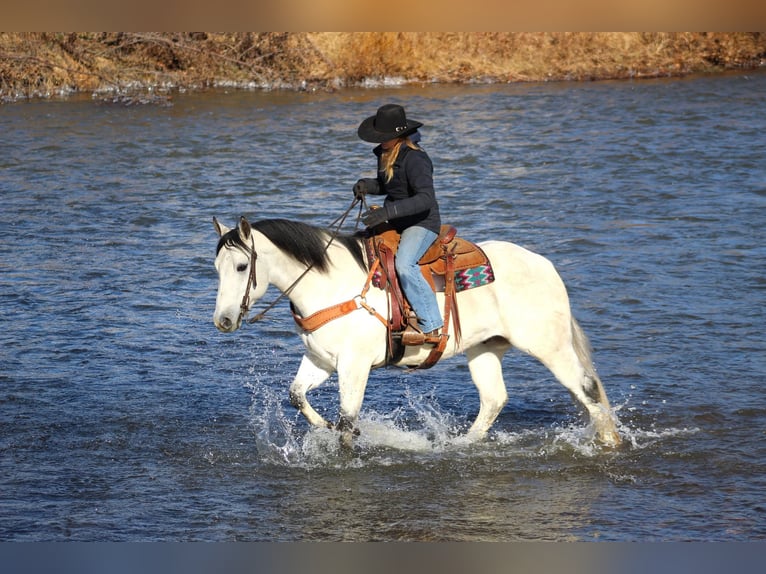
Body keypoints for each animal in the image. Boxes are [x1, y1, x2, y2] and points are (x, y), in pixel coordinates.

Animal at [213, 216, 620, 450]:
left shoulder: (354, 365)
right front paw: (324, 426)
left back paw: (610, 442)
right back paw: (460, 446)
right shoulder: (322, 359)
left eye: (242, 266)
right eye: (216, 267)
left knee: (587, 389)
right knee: (494, 399)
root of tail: (545, 266)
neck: (330, 285)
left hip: (550, 347)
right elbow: (297, 395)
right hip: (485, 348)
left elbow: (347, 419)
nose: (223, 320)